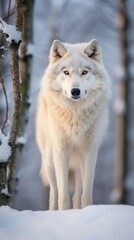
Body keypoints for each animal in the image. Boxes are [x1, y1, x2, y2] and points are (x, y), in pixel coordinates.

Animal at [35, 39, 111, 210]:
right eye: (66, 72)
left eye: (84, 72)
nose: (75, 91)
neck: (75, 115)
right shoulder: (61, 151)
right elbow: (63, 196)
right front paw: (64, 212)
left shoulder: (89, 151)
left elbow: (86, 195)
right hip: (50, 162)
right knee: (53, 194)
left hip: (77, 166)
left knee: (77, 196)